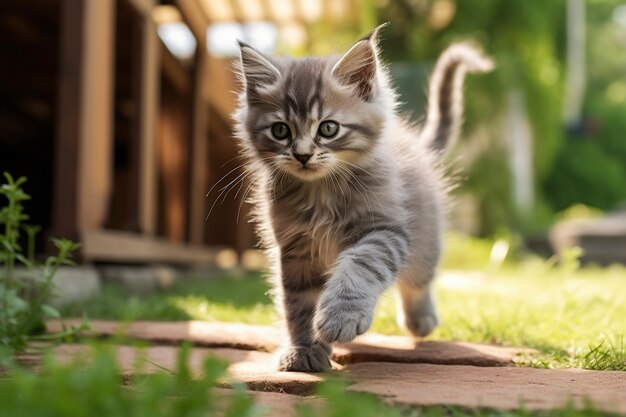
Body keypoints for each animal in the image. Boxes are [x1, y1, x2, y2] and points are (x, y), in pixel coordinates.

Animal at [232, 24, 490, 372]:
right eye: (281, 131)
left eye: (328, 128)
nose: (302, 155)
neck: (321, 192)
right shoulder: (294, 249)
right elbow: (297, 303)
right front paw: (303, 349)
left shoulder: (384, 230)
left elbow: (360, 264)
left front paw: (340, 316)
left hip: (425, 239)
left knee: (418, 279)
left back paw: (420, 320)